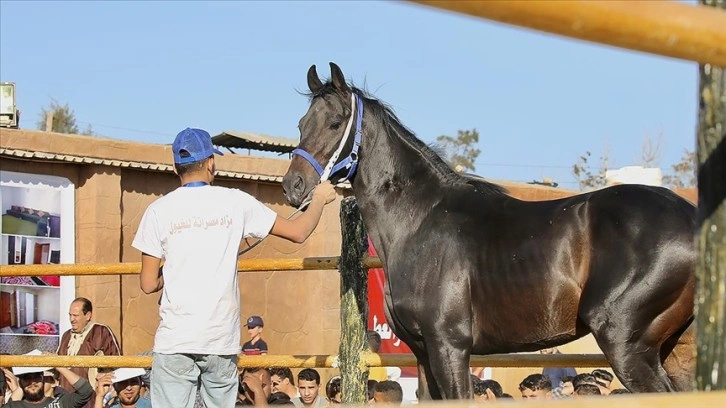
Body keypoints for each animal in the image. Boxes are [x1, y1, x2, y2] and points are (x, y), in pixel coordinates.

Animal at [282, 63, 696, 398]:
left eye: (335, 123)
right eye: (301, 124)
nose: (294, 187)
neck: (419, 221)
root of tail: (693, 222)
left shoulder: (449, 346)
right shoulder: (422, 352)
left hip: (626, 343)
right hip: (677, 350)